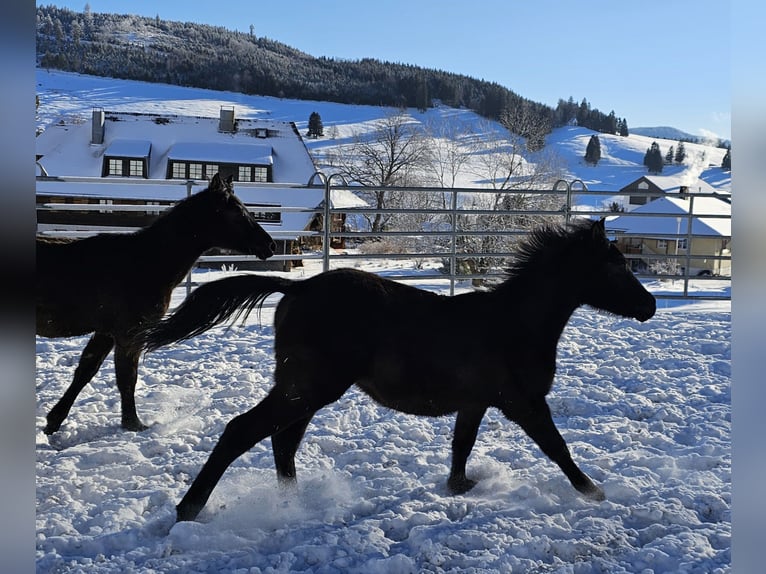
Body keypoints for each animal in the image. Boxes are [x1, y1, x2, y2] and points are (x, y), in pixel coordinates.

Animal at [37, 173, 276, 434]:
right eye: (238, 212)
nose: (270, 245)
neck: (146, 261)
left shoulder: (106, 332)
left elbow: (85, 371)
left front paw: (53, 421)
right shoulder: (129, 333)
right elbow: (127, 378)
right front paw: (134, 424)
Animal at [142, 218, 656, 522]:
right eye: (615, 269)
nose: (649, 305)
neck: (517, 323)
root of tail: (297, 288)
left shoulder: (476, 403)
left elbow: (462, 446)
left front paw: (458, 487)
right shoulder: (524, 403)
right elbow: (557, 447)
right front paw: (594, 492)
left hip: (304, 390)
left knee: (282, 441)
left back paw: (293, 503)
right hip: (309, 387)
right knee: (243, 431)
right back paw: (189, 509)